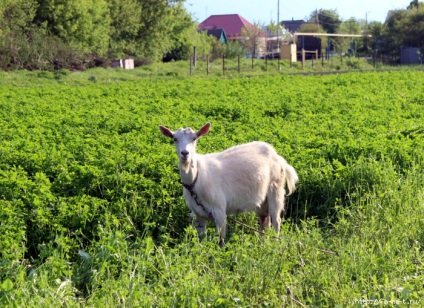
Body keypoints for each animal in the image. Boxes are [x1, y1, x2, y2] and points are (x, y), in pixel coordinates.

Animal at [159, 122, 298, 245]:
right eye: (175, 139)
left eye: (194, 138)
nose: (185, 153)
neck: (196, 179)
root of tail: (277, 156)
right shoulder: (198, 215)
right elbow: (201, 239)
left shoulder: (220, 211)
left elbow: (221, 240)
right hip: (262, 199)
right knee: (265, 220)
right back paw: (263, 244)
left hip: (276, 189)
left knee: (276, 220)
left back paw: (275, 244)